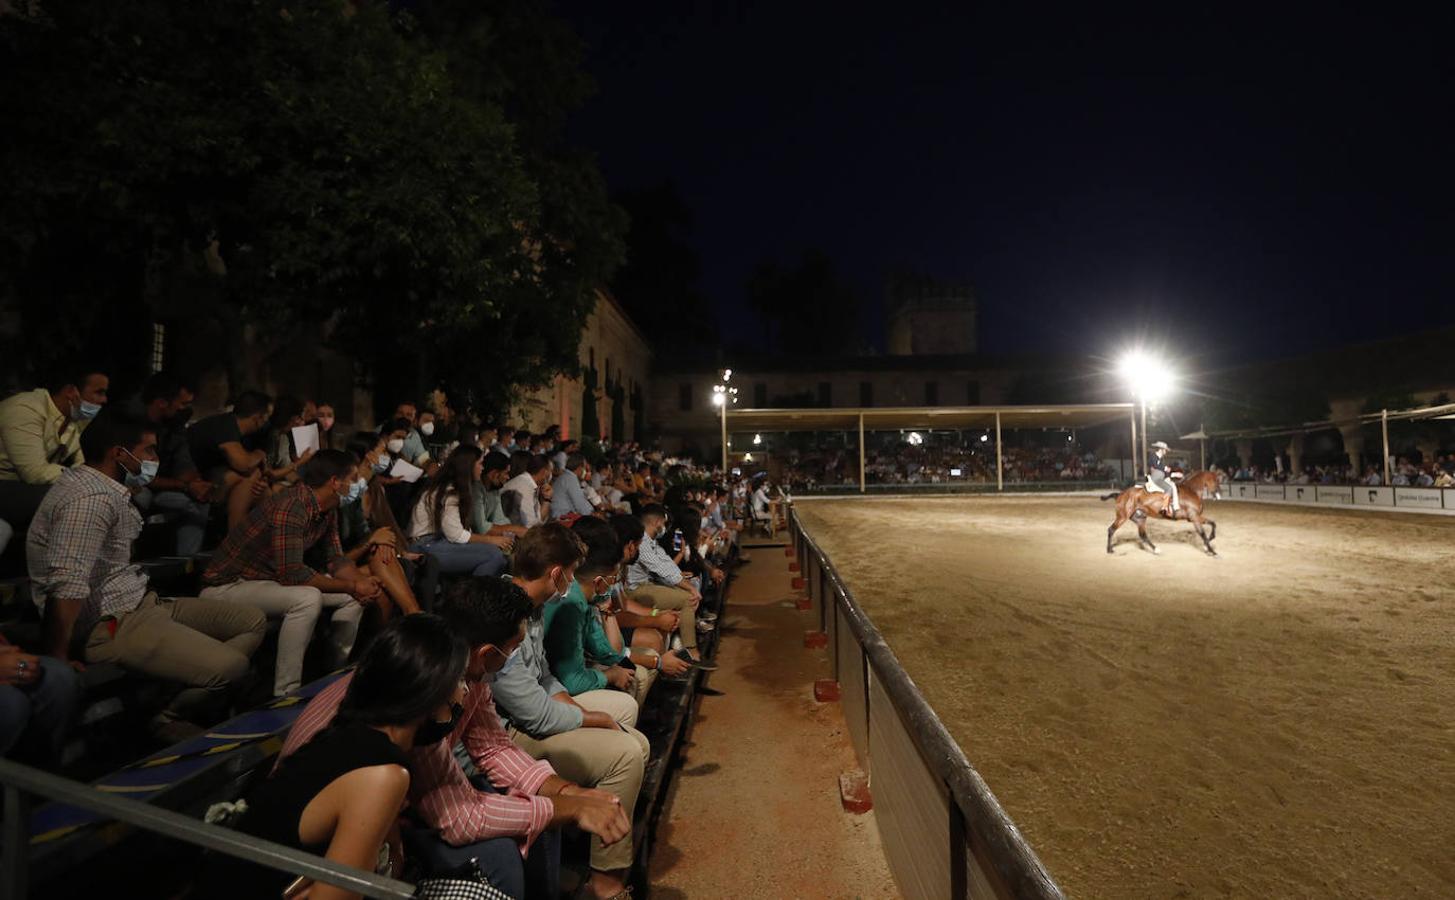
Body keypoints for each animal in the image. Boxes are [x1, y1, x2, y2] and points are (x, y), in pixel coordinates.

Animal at [1094, 471, 1222, 555]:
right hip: (1123, 517)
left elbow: (1213, 524)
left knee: (1143, 535)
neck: (1192, 490)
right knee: (1111, 530)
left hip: (1140, 518)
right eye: (1215, 480)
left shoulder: (1196, 517)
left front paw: (1206, 546)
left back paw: (1155, 549)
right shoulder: (1194, 517)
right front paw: (1212, 551)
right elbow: (1202, 533)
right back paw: (1109, 550)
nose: (1218, 495)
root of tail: (1120, 494)